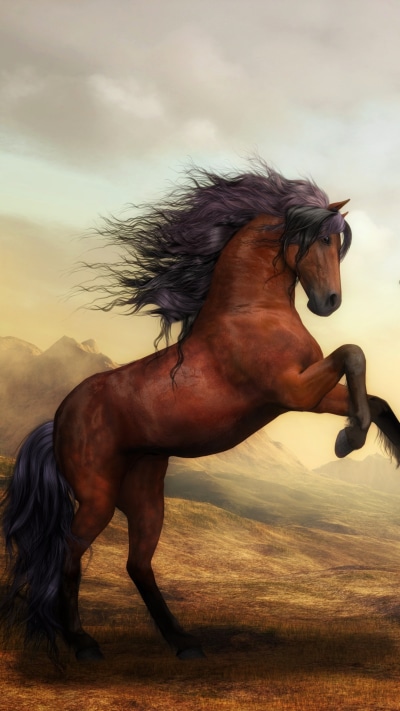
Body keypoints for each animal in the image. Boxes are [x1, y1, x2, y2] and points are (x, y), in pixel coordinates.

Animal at [2, 161, 400, 664]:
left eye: (337, 244)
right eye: (322, 240)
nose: (328, 303)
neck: (251, 311)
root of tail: (57, 419)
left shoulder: (304, 393)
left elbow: (375, 396)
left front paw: (355, 437)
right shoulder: (292, 391)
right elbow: (354, 354)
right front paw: (350, 439)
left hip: (145, 492)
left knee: (138, 564)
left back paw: (183, 641)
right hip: (97, 496)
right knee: (70, 555)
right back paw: (82, 643)